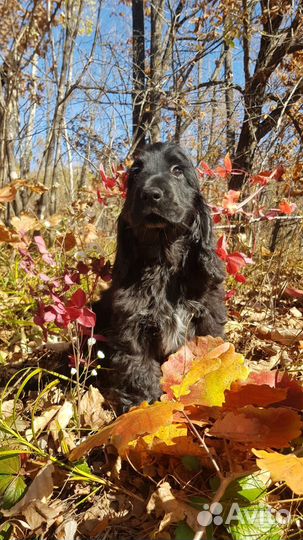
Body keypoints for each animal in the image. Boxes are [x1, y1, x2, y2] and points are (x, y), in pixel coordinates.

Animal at [94, 142, 227, 410]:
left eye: (178, 170)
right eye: (136, 172)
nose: (150, 194)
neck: (164, 262)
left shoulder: (208, 314)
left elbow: (209, 352)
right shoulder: (131, 323)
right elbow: (138, 365)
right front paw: (144, 405)